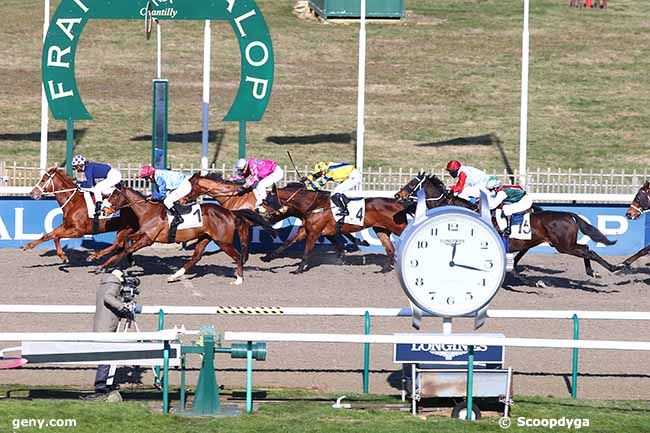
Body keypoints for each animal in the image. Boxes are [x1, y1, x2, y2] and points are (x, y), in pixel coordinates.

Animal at [99, 185, 274, 284]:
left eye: (114, 195)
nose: (103, 209)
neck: (148, 211)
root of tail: (230, 212)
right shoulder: (143, 234)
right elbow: (124, 241)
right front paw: (110, 261)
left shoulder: (148, 239)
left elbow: (127, 247)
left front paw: (105, 265)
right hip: (205, 238)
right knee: (196, 257)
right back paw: (174, 276)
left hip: (222, 241)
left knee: (237, 256)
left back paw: (239, 279)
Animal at [182, 173, 404, 272]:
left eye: (188, 188)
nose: (181, 201)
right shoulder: (308, 229)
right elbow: (288, 242)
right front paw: (266, 258)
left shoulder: (245, 222)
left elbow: (245, 243)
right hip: (379, 230)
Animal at [394, 172, 616, 276]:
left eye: (412, 183)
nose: (398, 195)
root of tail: (568, 214)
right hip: (559, 244)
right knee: (586, 248)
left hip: (564, 245)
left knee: (589, 251)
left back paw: (614, 268)